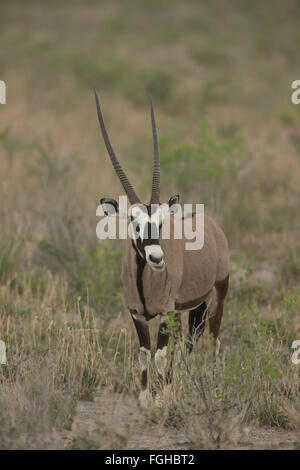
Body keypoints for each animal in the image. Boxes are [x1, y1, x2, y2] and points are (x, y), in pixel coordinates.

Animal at [94, 91, 230, 404]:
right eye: (133, 220)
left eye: (160, 221)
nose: (156, 257)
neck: (144, 278)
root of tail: (212, 224)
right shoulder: (138, 314)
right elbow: (145, 354)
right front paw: (146, 398)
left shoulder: (165, 313)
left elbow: (160, 354)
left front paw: (160, 399)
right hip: (189, 308)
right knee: (188, 344)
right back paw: (187, 384)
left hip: (217, 295)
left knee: (213, 340)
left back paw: (213, 385)